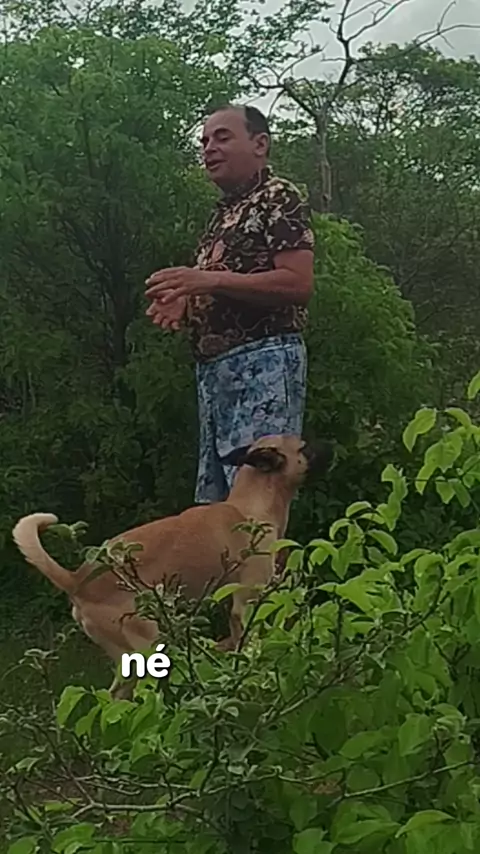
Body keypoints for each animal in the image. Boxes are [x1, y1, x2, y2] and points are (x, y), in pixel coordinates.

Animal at [12, 434, 332, 698]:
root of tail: (77, 580)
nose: (332, 447)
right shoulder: (248, 603)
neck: (250, 503)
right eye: (305, 447)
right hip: (148, 644)